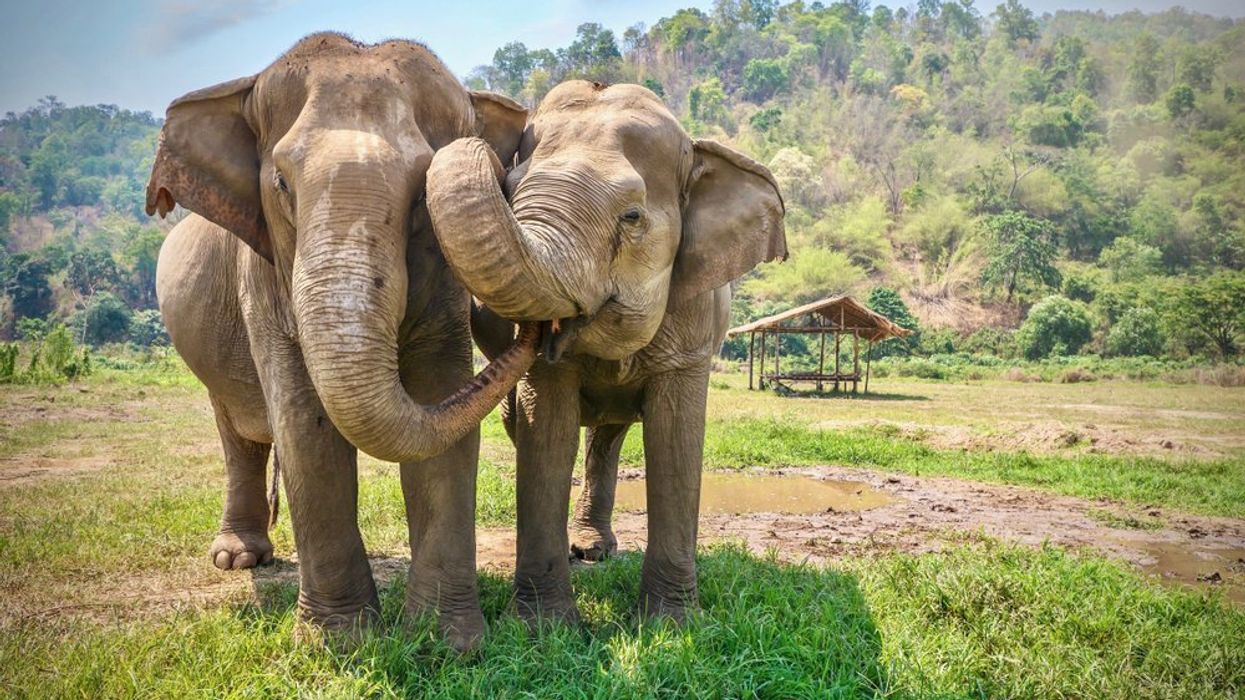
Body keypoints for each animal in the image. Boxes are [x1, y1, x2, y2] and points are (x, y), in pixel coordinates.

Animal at [149, 33, 538, 648]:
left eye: (422, 194)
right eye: (282, 184)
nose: (537, 329)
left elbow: (441, 402)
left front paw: (446, 643)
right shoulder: (263, 274)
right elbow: (305, 429)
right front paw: (339, 644)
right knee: (238, 432)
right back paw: (238, 559)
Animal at [425, 80, 786, 622]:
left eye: (632, 216)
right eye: (510, 191)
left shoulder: (694, 323)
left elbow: (676, 440)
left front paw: (672, 622)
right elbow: (547, 433)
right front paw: (544, 627)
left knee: (608, 436)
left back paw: (596, 550)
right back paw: (584, 551)